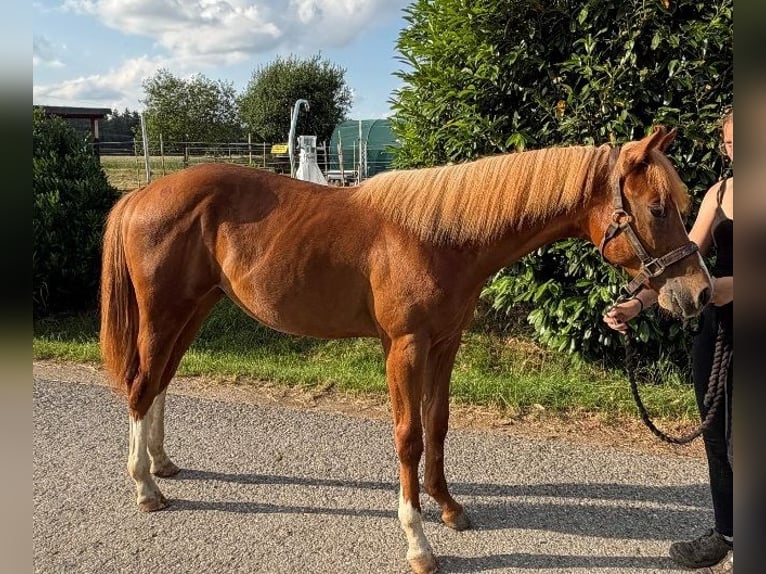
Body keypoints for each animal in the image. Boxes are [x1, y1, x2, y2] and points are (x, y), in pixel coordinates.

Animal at [99, 125, 711, 574]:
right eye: (659, 208)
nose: (699, 293)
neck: (439, 236)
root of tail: (141, 194)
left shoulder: (445, 343)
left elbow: (437, 423)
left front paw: (448, 508)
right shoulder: (405, 348)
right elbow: (409, 437)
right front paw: (418, 542)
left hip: (194, 310)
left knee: (160, 384)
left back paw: (162, 464)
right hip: (165, 314)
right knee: (141, 385)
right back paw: (145, 487)